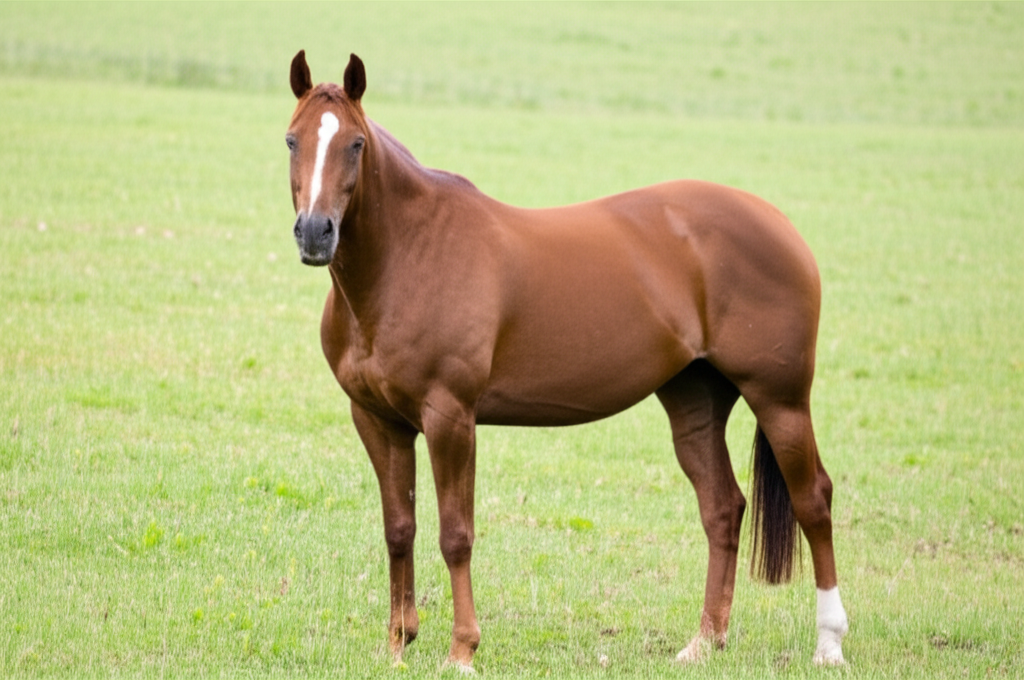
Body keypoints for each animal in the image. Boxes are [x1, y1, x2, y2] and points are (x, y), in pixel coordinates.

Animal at [284, 50, 848, 671]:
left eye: (356, 144)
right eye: (292, 140)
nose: (315, 234)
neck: (410, 255)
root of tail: (779, 223)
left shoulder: (449, 418)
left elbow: (455, 534)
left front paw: (461, 651)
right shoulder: (377, 420)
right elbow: (398, 528)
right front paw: (397, 644)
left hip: (780, 399)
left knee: (813, 501)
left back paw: (829, 645)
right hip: (695, 401)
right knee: (723, 509)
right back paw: (704, 642)